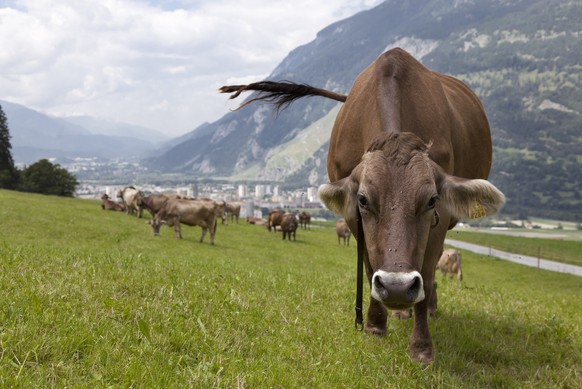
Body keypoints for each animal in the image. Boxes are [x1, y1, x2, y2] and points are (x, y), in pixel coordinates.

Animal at [221, 47, 508, 362]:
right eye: (363, 199)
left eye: (432, 199)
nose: (397, 287)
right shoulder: (353, 219)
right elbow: (370, 268)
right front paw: (374, 325)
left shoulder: (441, 217)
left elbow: (428, 272)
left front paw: (422, 347)